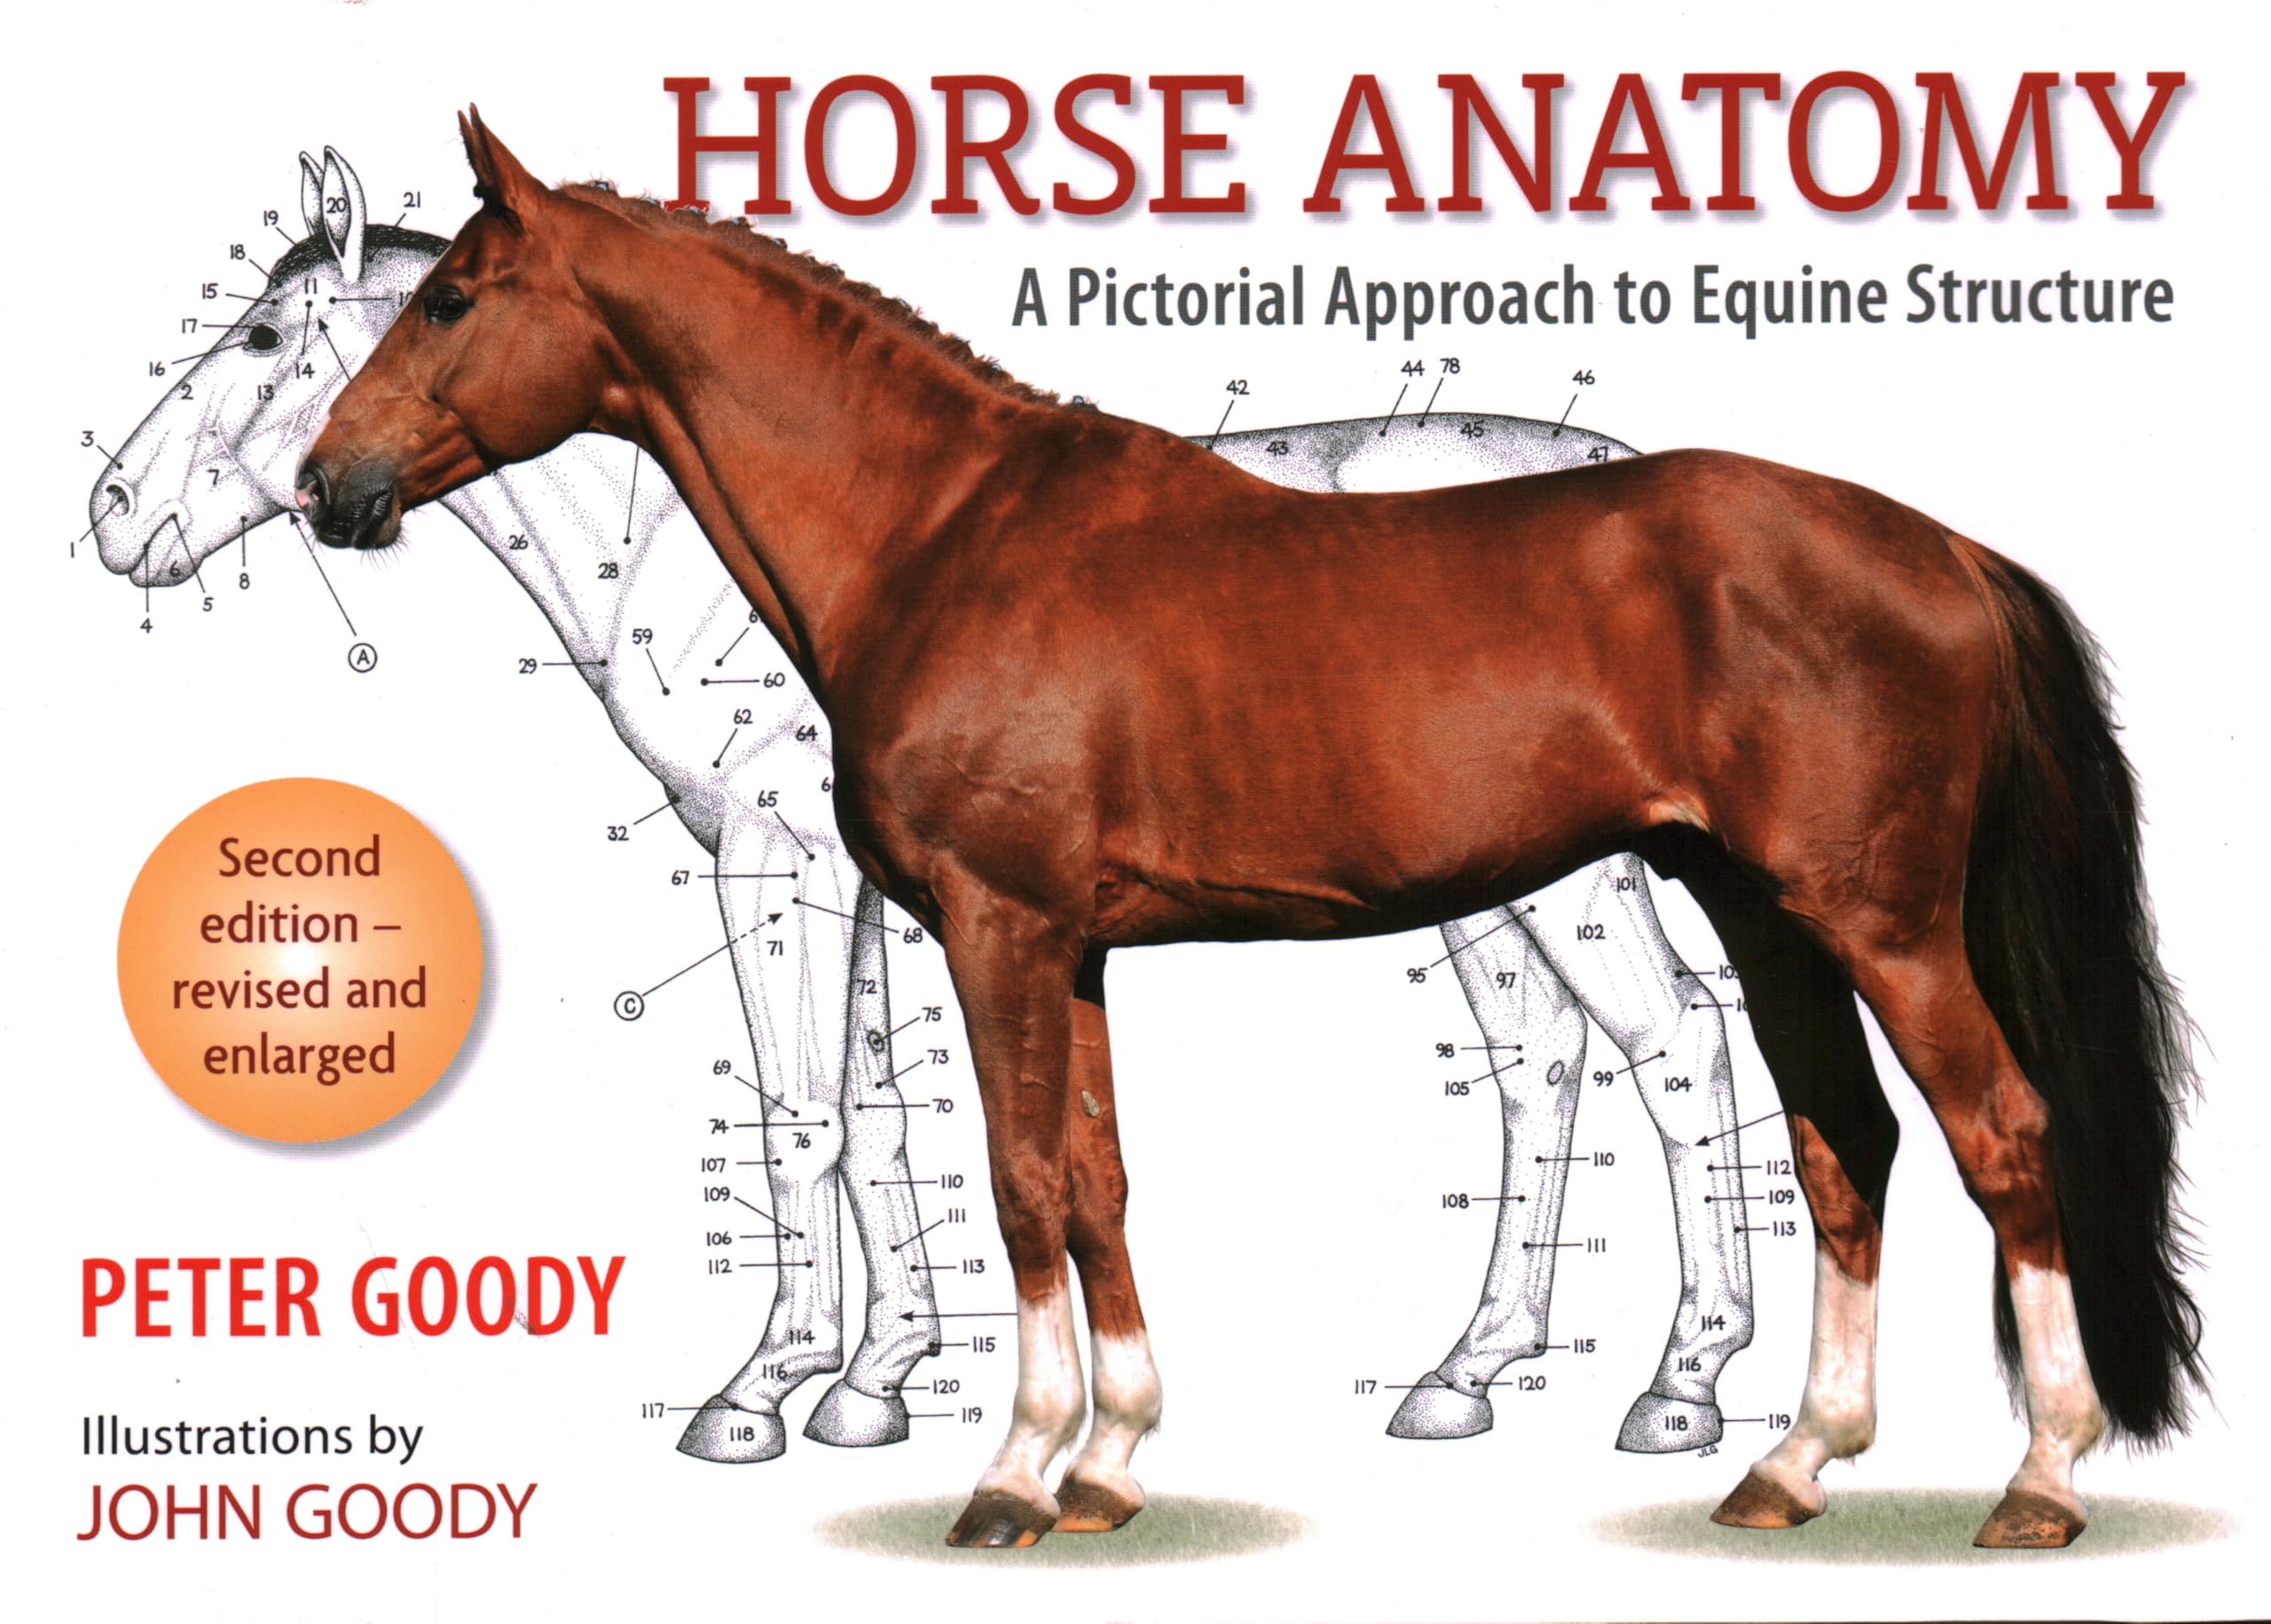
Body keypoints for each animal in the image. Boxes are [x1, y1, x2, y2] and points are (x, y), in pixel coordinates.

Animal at [94, 147, 1806, 1462]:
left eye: (266, 333)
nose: (113, 514)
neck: (891, 531)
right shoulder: (849, 876)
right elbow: (875, 1113)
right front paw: (876, 1376)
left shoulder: (776, 859)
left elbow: (806, 1120)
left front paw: (762, 1391)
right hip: (1508, 885)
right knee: (1544, 1065)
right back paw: (1473, 1369)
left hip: (1577, 884)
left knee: (1672, 1048)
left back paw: (1682, 1385)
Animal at [302, 112, 2202, 1551]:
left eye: (453, 296)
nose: (334, 486)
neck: (942, 527)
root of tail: (1946, 551)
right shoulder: (1067, 945)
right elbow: (1096, 1181)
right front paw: (1109, 1462)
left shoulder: (997, 925)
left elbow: (1019, 1183)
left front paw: (1011, 1475)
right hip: (1767, 913)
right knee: (1844, 1148)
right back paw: (1790, 1463)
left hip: (1879, 922)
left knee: (1998, 1133)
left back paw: (2037, 1480)